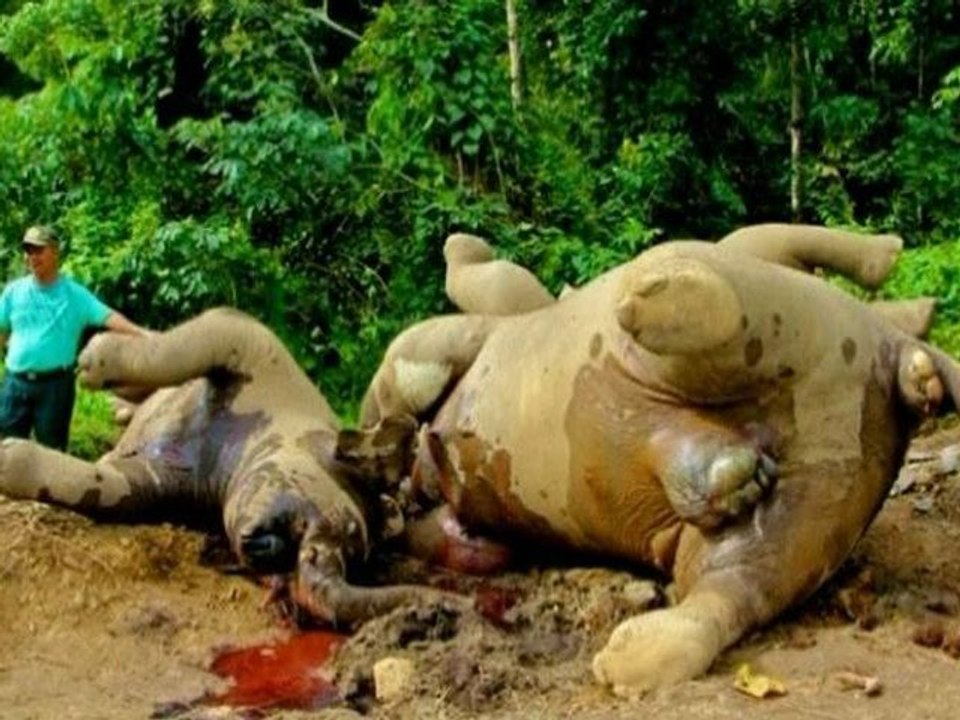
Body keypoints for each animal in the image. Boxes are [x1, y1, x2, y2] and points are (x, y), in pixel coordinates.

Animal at [0, 307, 433, 626]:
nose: (270, 552)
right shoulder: (250, 343)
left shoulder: (160, 486)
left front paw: (10, 455)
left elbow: (98, 485)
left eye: (350, 558)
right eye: (305, 531)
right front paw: (96, 357)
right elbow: (185, 342)